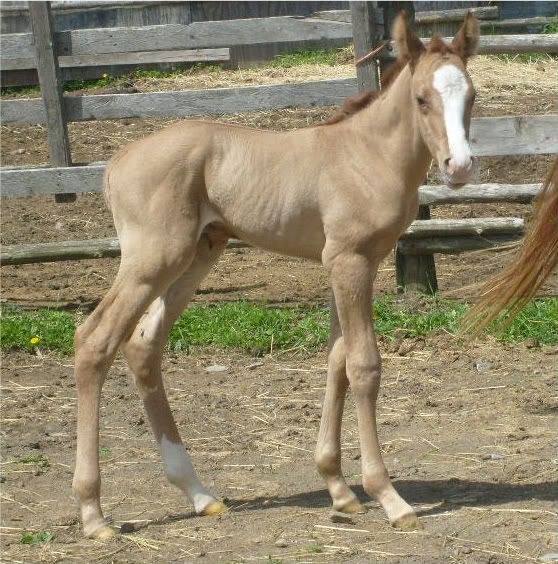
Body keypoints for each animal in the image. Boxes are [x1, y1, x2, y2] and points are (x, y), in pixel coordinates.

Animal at [73, 11, 482, 536]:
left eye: (471, 96)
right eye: (421, 98)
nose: (460, 166)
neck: (366, 154)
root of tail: (115, 162)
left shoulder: (348, 263)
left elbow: (337, 361)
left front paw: (339, 489)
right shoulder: (350, 261)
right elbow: (364, 366)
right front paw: (388, 496)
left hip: (197, 254)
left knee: (145, 345)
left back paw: (199, 494)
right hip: (152, 259)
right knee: (94, 341)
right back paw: (93, 513)